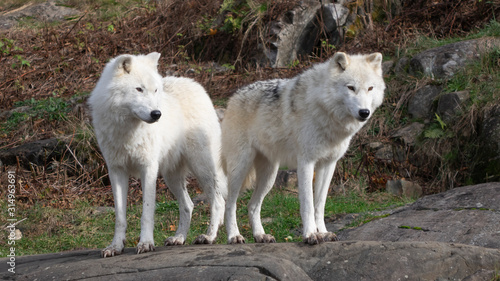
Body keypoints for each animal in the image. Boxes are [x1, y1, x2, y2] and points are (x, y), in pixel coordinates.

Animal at [88, 52, 227, 256]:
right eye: (139, 89)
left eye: (155, 91)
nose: (157, 114)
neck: (128, 130)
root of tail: (194, 84)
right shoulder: (116, 171)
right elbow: (120, 217)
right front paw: (116, 246)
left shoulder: (148, 168)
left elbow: (146, 212)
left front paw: (146, 243)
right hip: (171, 177)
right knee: (188, 205)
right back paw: (179, 238)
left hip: (202, 167)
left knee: (217, 201)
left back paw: (209, 236)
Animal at [221, 51, 384, 244]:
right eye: (351, 87)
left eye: (370, 88)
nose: (364, 112)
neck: (325, 110)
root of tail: (234, 96)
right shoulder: (306, 162)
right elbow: (308, 204)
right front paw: (311, 234)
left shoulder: (328, 165)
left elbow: (319, 205)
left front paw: (323, 232)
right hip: (240, 168)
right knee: (230, 204)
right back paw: (234, 236)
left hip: (269, 176)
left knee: (252, 205)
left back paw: (260, 235)